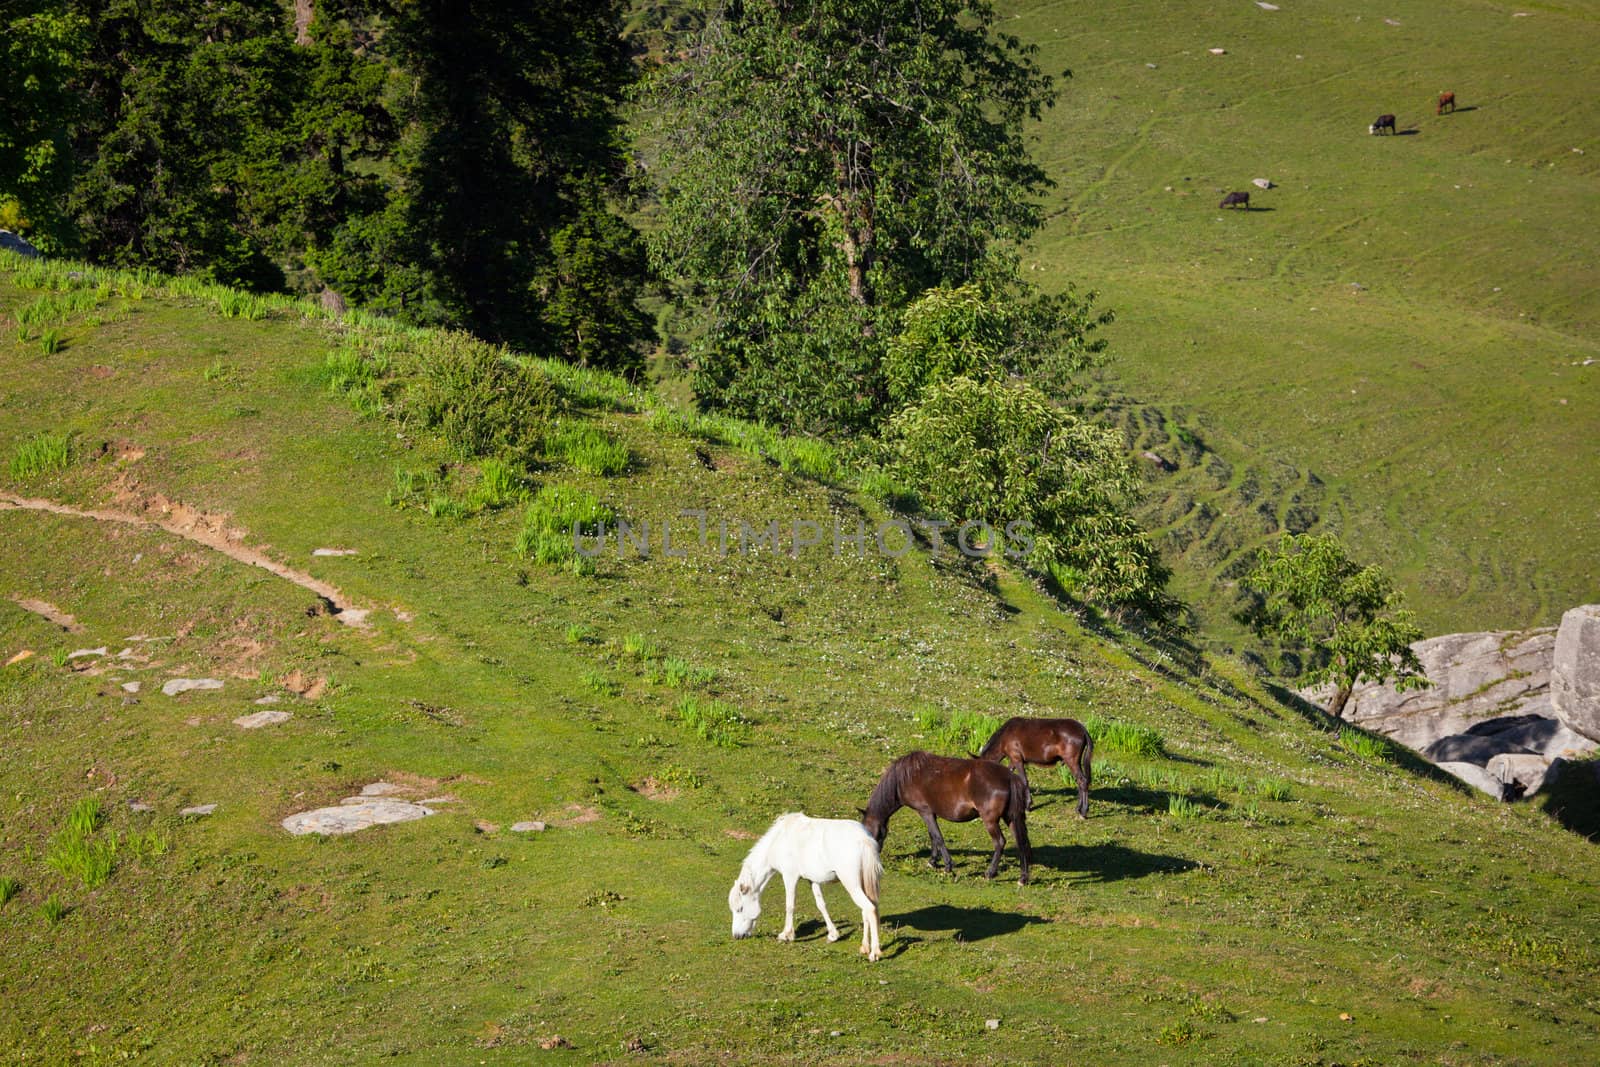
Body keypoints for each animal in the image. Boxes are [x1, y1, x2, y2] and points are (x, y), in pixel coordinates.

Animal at [729, 812, 883, 966]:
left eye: (740, 909)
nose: (736, 935)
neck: (779, 839)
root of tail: (864, 839)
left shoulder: (789, 877)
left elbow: (789, 906)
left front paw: (786, 934)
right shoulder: (812, 880)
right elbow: (821, 905)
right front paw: (833, 935)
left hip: (852, 884)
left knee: (869, 908)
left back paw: (874, 953)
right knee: (866, 910)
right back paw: (864, 947)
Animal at [864, 755, 1036, 889]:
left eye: (873, 834)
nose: (873, 857)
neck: (905, 776)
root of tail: (1009, 777)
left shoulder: (925, 812)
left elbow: (938, 837)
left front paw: (947, 866)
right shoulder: (931, 814)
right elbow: (933, 837)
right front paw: (932, 862)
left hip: (991, 821)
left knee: (1000, 842)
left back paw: (990, 873)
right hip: (1012, 818)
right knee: (1021, 842)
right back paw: (1022, 878)